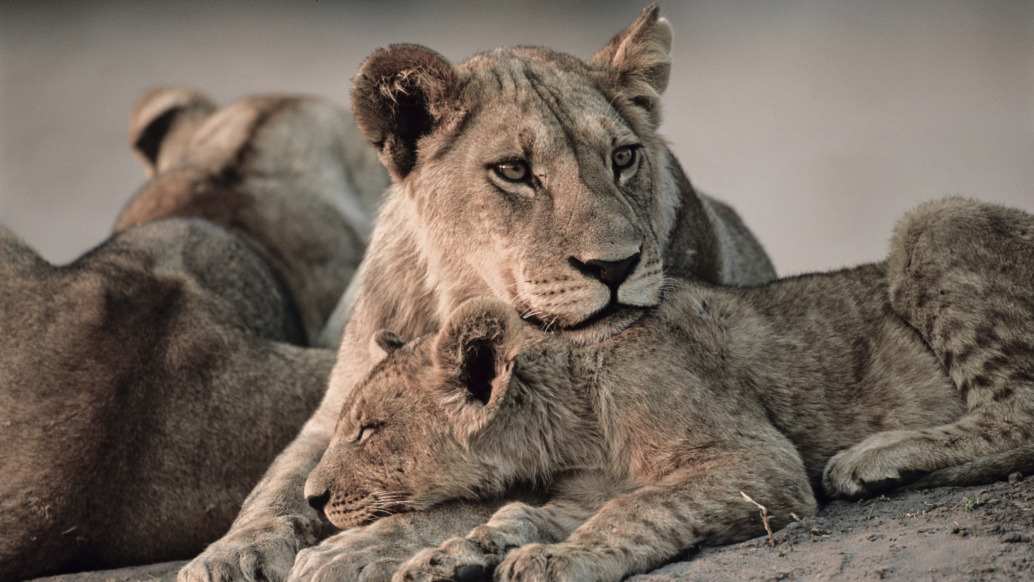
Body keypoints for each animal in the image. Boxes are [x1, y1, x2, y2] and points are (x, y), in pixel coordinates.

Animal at [303, 198, 1034, 578]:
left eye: (367, 430)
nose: (311, 499)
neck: (570, 423)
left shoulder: (755, 462)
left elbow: (638, 510)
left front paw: (556, 560)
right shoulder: (588, 488)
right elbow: (518, 514)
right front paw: (451, 555)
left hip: (933, 223)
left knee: (1019, 409)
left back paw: (875, 458)